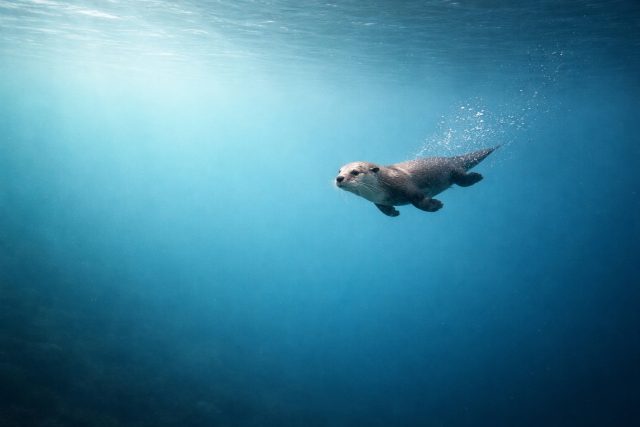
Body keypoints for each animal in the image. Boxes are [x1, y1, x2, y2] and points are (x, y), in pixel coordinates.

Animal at [335, 147, 497, 217]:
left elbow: (418, 201)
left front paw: (435, 205)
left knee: (460, 178)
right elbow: (383, 209)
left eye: (354, 172)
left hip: (450, 169)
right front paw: (393, 212)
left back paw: (475, 177)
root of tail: (452, 159)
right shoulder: (378, 201)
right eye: (339, 170)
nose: (339, 178)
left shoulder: (406, 186)